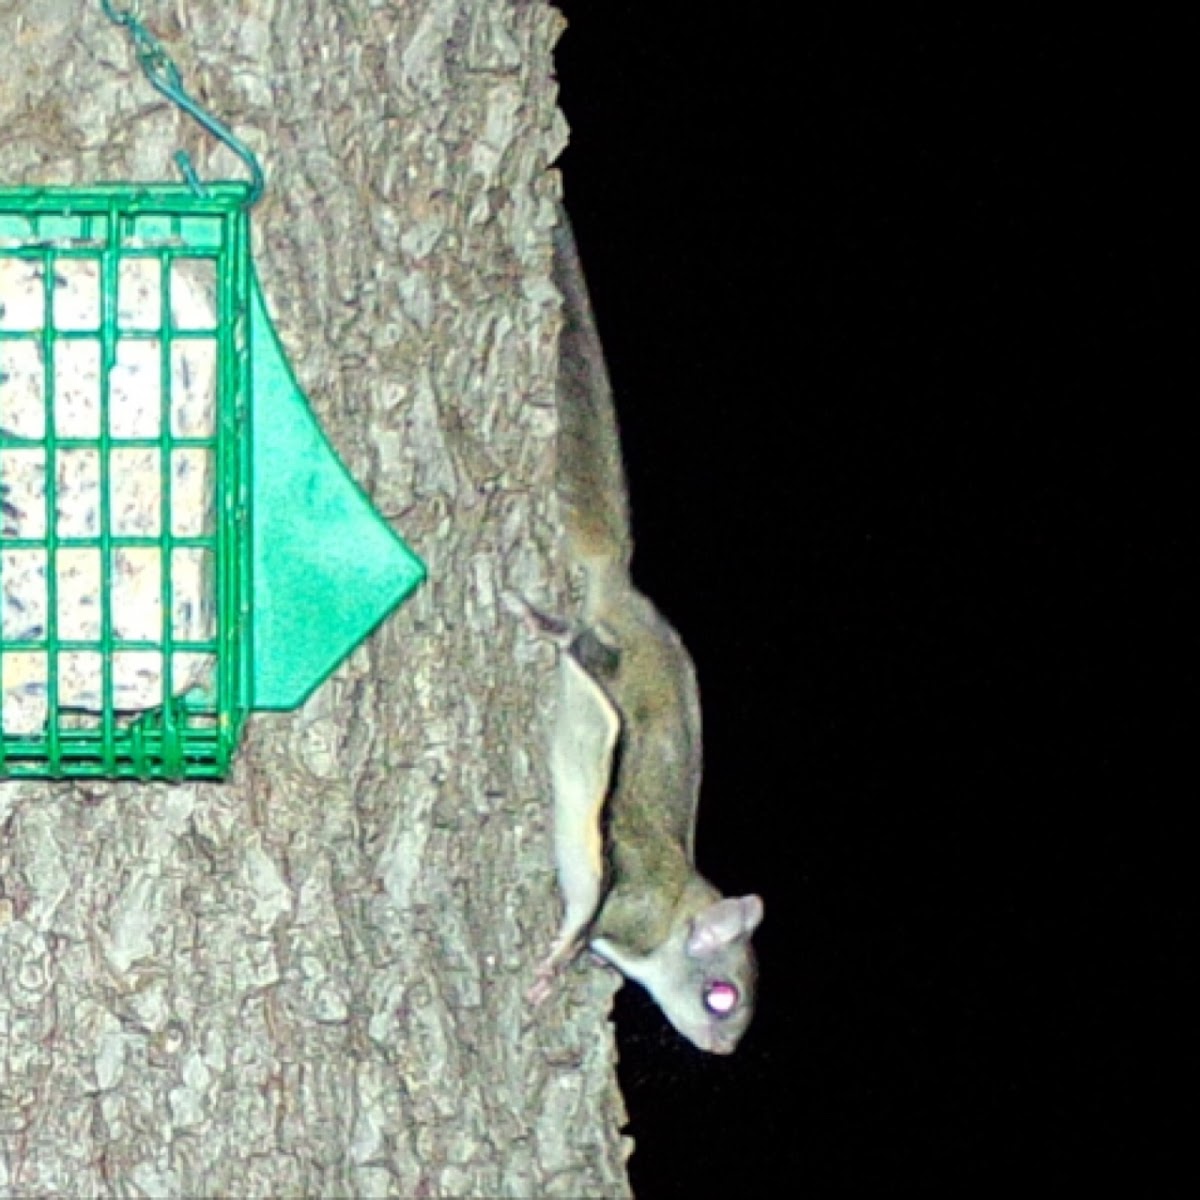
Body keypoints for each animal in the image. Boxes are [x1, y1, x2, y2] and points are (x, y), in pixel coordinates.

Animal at [523, 204, 758, 1051]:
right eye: (721, 996)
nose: (724, 1048)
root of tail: (625, 593)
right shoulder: (621, 906)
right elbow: (581, 923)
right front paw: (553, 968)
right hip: (609, 663)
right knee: (584, 647)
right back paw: (545, 622)